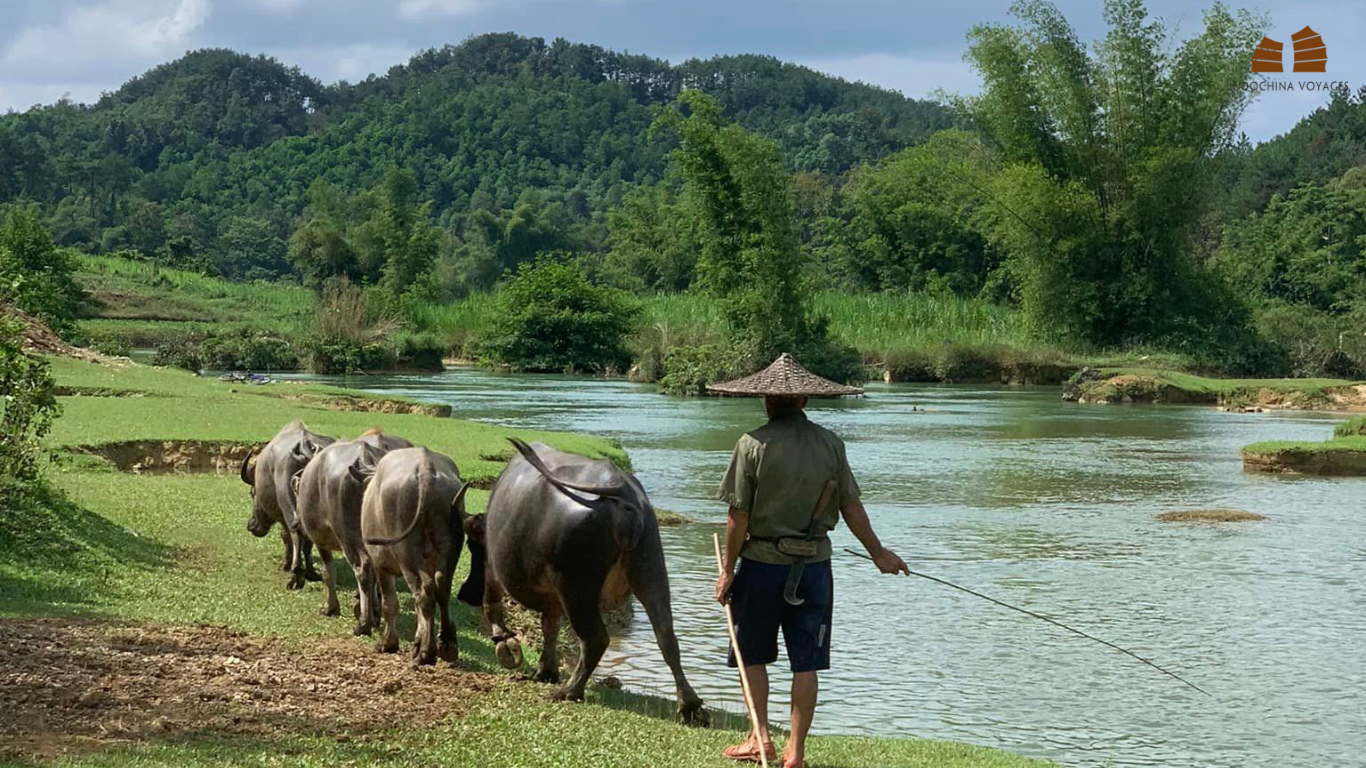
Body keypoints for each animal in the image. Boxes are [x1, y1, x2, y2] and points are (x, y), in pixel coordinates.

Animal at [239, 415, 331, 582]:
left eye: (252, 492)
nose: (251, 525)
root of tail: (305, 446)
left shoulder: (281, 515)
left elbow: (285, 536)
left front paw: (286, 564)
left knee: (295, 532)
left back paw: (295, 570)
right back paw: (310, 572)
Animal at [293, 426, 409, 631]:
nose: (296, 523)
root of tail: (366, 460)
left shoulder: (322, 541)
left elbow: (328, 572)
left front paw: (331, 607)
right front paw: (375, 609)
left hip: (349, 537)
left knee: (362, 570)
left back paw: (363, 622)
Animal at [357, 445, 469, 661]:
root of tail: (425, 469)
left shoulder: (380, 563)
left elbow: (389, 602)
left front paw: (388, 642)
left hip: (406, 551)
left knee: (424, 591)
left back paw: (426, 652)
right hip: (449, 546)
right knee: (440, 588)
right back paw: (447, 643)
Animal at [464, 434, 710, 721]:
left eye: (472, 546)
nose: (464, 593)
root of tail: (622, 497)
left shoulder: (494, 569)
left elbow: (494, 605)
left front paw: (505, 645)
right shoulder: (552, 597)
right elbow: (549, 626)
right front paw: (545, 671)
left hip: (576, 584)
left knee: (595, 638)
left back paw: (568, 691)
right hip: (651, 567)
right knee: (666, 635)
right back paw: (690, 706)